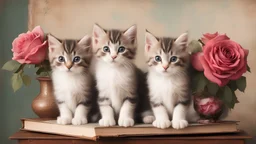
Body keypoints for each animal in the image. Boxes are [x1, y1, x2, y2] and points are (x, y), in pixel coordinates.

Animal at [47, 24, 200, 129]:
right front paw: (107, 120)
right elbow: (105, 107)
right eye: (106, 49)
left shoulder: (132, 91)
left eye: (121, 49)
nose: (114, 56)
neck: (114, 71)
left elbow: (127, 106)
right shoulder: (101, 93)